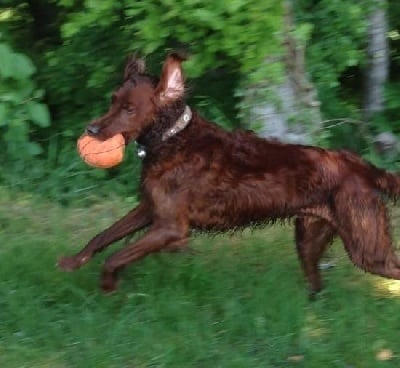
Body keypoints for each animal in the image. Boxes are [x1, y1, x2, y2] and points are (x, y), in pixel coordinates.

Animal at [58, 52, 400, 296]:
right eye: (112, 101)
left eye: (129, 109)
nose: (91, 130)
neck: (173, 138)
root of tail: (360, 165)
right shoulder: (150, 209)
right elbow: (104, 236)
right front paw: (73, 261)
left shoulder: (171, 227)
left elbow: (116, 256)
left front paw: (108, 284)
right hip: (309, 237)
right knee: (316, 283)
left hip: (367, 247)